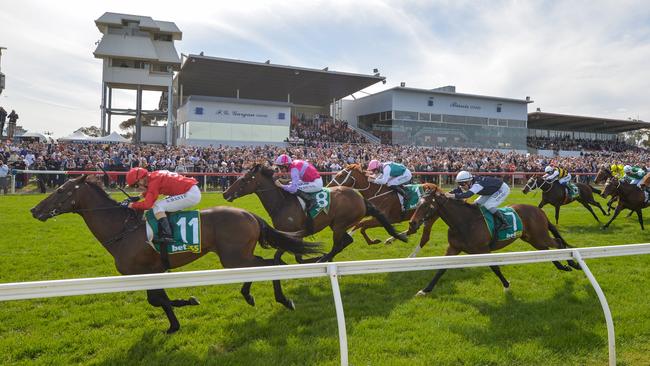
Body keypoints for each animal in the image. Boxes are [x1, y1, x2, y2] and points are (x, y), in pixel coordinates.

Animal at [31, 175, 320, 334]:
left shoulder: (146, 271)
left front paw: (186, 304)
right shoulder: (152, 272)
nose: (34, 210)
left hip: (233, 257)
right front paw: (175, 323)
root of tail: (249, 213)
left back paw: (281, 299)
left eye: (60, 191)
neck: (123, 229)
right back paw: (250, 295)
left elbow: (157, 300)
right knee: (262, 266)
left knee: (269, 263)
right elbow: (157, 300)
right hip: (237, 257)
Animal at [223, 164, 404, 264]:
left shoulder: (294, 235)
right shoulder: (293, 236)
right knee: (347, 241)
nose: (225, 193)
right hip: (337, 225)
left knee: (338, 244)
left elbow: (282, 256)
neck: (282, 203)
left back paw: (324, 258)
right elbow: (295, 257)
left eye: (244, 179)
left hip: (340, 224)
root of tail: (360, 198)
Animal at [404, 189, 576, 294]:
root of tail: (539, 210)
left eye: (427, 205)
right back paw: (563, 267)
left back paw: (572, 264)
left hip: (539, 235)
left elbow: (495, 268)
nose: (412, 223)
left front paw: (506, 286)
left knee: (558, 243)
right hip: (532, 238)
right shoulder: (453, 248)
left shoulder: (483, 250)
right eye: (417, 203)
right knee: (547, 250)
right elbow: (441, 269)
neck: (464, 222)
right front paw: (425, 290)